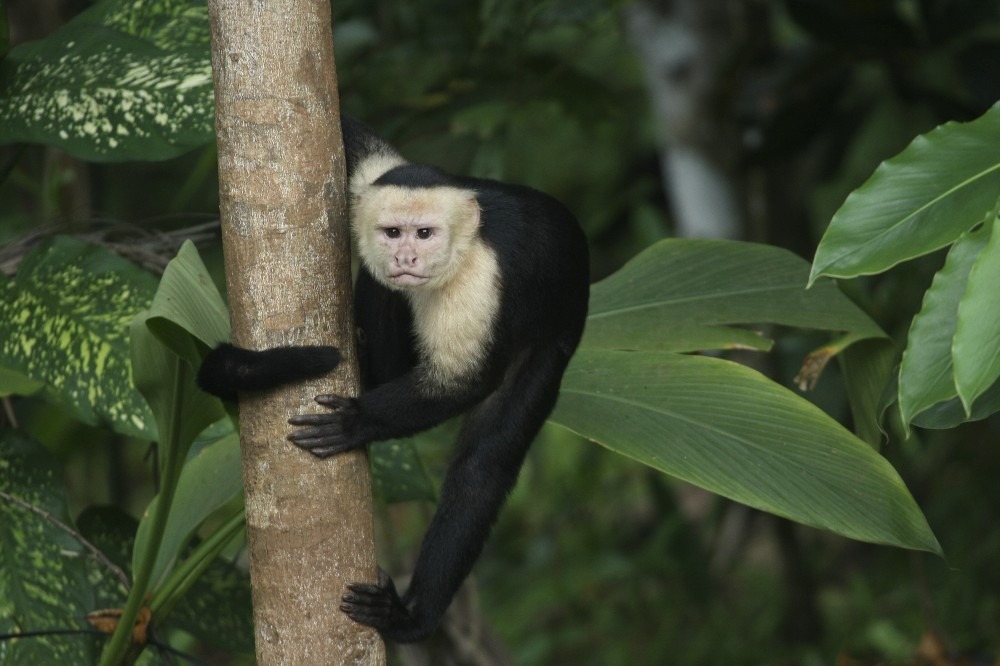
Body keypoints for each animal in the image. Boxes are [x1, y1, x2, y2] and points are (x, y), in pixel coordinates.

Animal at [196, 116, 588, 640]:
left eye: (424, 233)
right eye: (393, 231)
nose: (405, 258)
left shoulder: (478, 281)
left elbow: (462, 383)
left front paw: (357, 421)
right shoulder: (374, 181)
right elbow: (353, 137)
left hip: (553, 338)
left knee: (484, 465)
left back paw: (412, 615)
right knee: (380, 286)